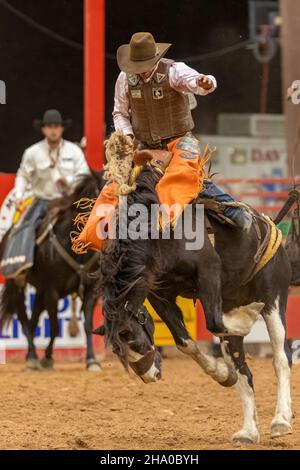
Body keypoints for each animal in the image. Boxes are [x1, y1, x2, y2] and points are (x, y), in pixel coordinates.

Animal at [0, 173, 105, 370]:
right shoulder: (52, 291)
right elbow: (55, 326)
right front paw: (47, 358)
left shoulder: (91, 289)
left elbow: (88, 324)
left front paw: (92, 360)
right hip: (17, 283)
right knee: (24, 318)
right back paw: (33, 357)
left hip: (40, 289)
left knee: (33, 320)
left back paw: (30, 354)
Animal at [94, 132, 292, 444]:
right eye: (118, 350)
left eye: (135, 341)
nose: (149, 375)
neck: (159, 232)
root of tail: (271, 226)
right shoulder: (159, 293)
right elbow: (185, 341)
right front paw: (222, 373)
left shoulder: (208, 271)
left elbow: (213, 323)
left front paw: (241, 323)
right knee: (245, 373)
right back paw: (249, 431)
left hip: (274, 296)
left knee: (281, 359)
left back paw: (281, 419)